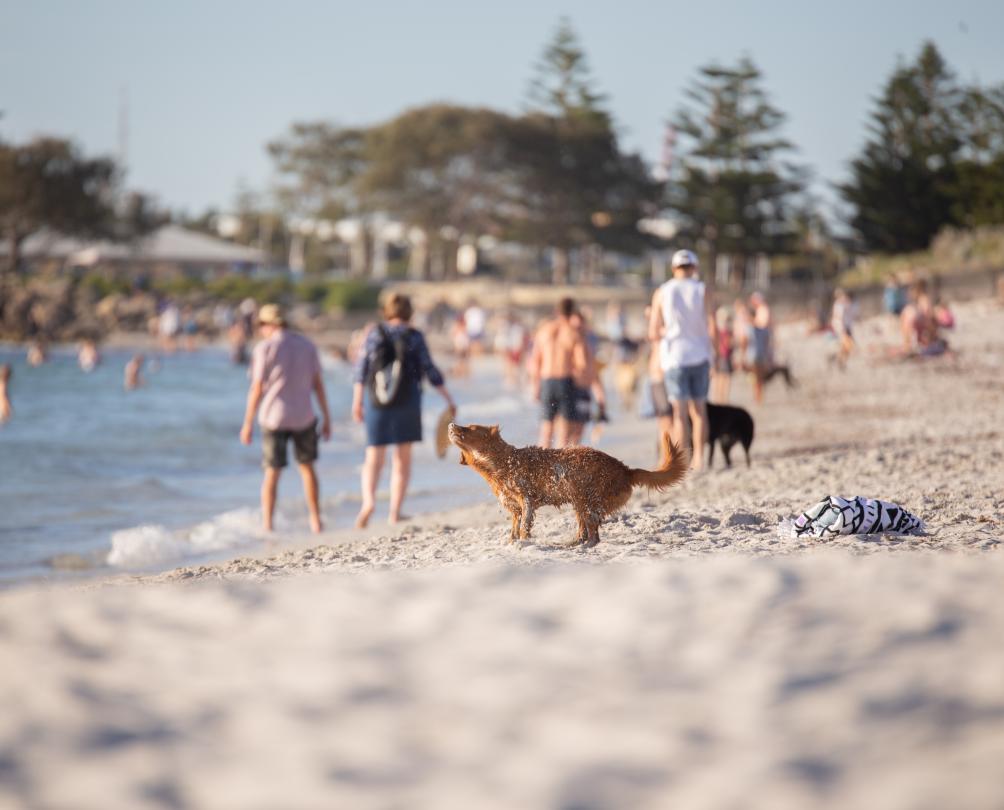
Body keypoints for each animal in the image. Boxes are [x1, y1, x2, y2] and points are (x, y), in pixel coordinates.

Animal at [451, 421, 686, 550]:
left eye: (470, 428)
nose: (451, 424)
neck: (502, 463)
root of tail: (625, 469)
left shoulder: (527, 499)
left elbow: (525, 525)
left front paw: (525, 542)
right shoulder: (514, 508)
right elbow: (515, 527)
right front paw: (514, 542)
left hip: (588, 501)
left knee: (593, 534)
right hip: (579, 502)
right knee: (584, 532)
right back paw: (571, 544)